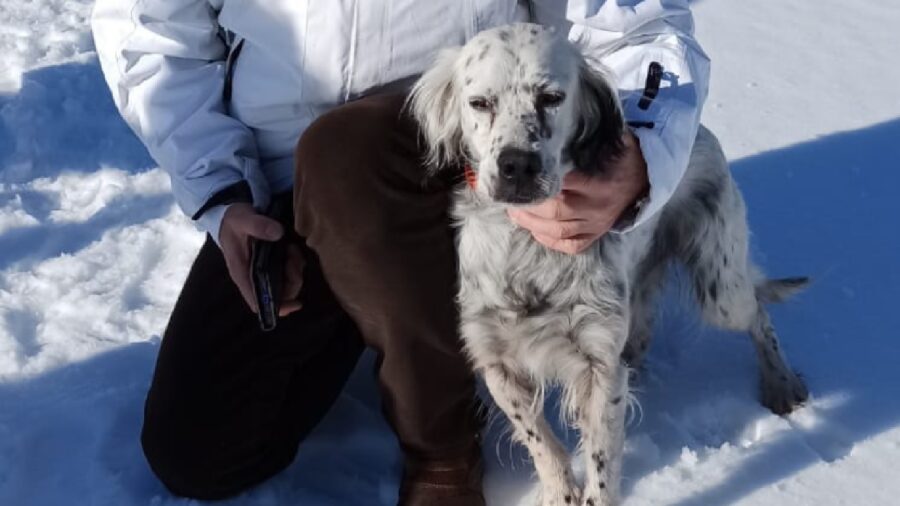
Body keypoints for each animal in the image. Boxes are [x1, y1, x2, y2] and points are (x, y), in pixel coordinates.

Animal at [408, 23, 808, 506]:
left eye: (551, 97)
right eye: (480, 102)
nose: (517, 165)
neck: (527, 249)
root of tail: (702, 130)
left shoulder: (598, 365)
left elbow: (600, 458)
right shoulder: (496, 360)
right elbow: (542, 442)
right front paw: (558, 492)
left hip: (721, 289)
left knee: (759, 314)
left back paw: (781, 383)